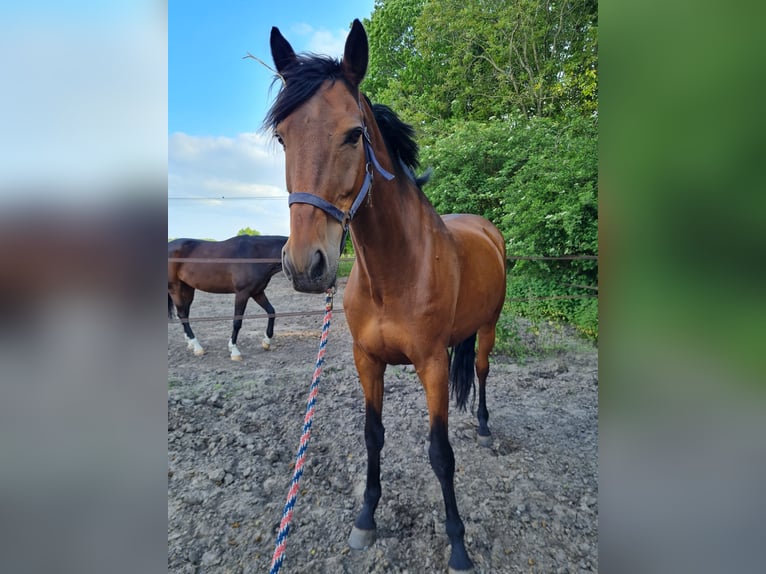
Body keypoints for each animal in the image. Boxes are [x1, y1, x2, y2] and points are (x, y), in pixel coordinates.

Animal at [268, 20, 508, 572]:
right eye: (282, 136)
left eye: (354, 134)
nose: (305, 265)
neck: (394, 272)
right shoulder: (367, 360)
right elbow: (372, 436)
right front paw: (365, 519)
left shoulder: (432, 364)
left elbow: (441, 453)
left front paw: (458, 544)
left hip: (488, 327)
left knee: (482, 370)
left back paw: (485, 428)